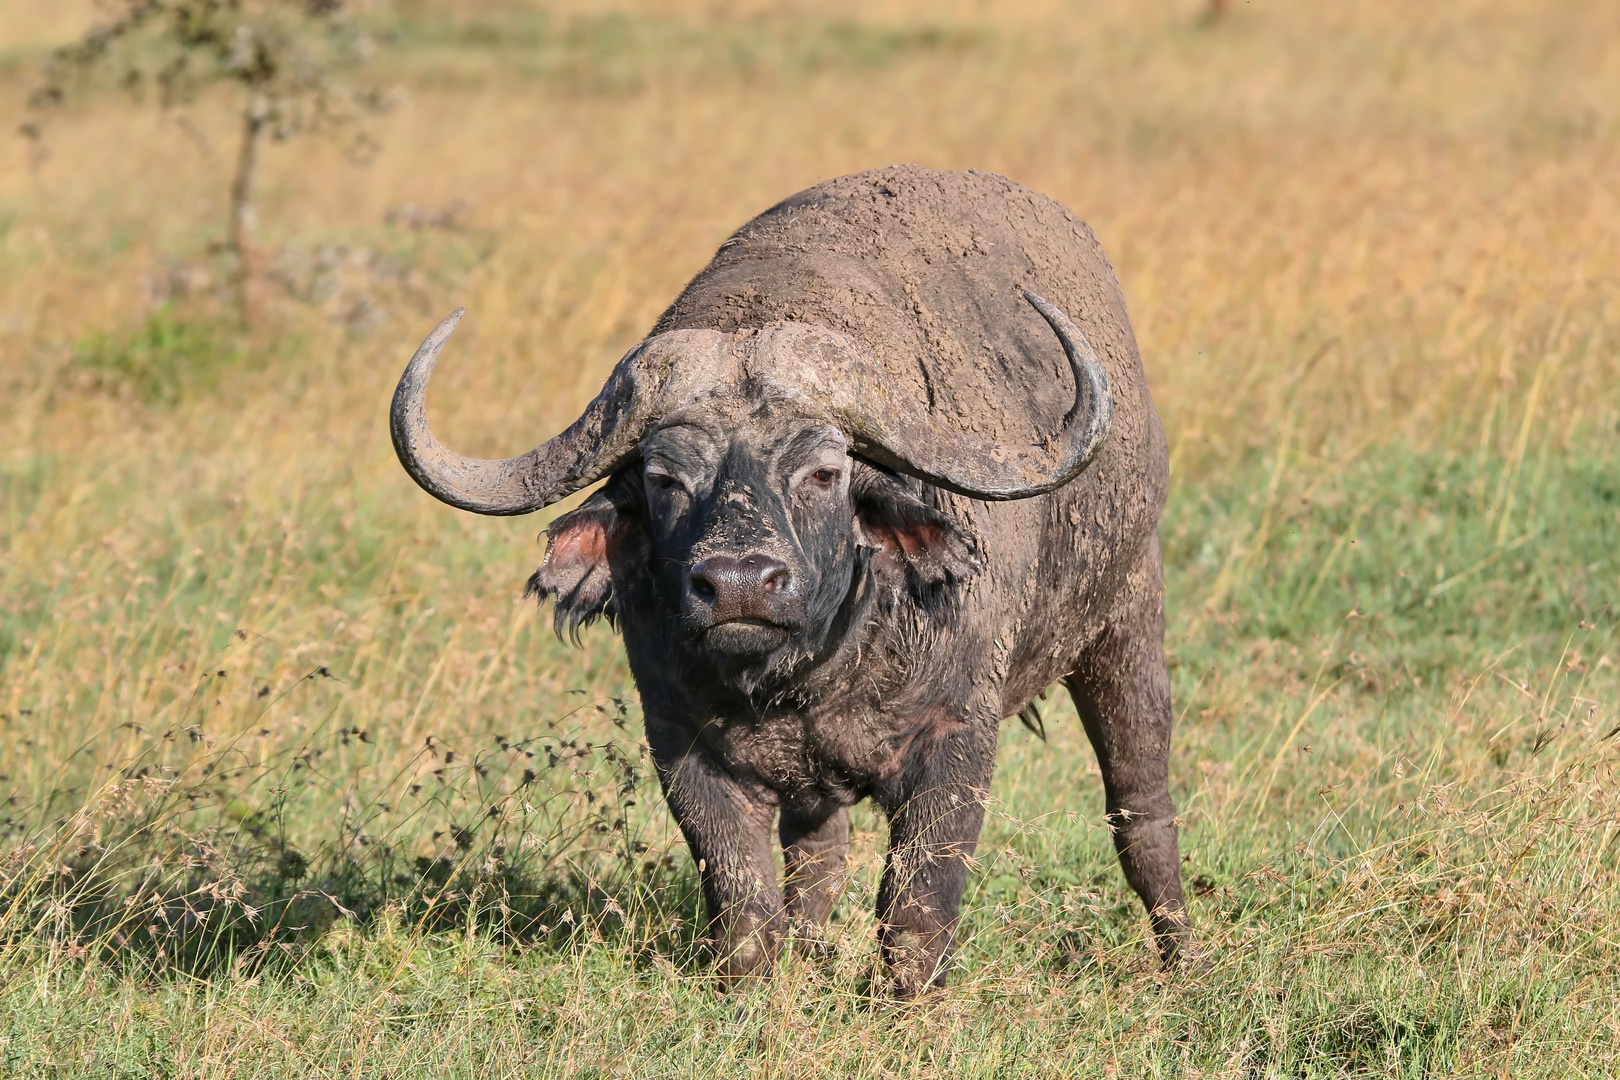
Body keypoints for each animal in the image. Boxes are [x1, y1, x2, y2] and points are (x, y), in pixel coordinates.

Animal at [395, 165, 1192, 990]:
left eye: (823, 471)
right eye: (664, 477)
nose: (740, 583)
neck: (807, 678)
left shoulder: (957, 736)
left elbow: (916, 907)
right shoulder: (683, 747)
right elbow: (745, 902)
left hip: (1129, 616)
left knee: (1140, 808)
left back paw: (1181, 957)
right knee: (819, 857)